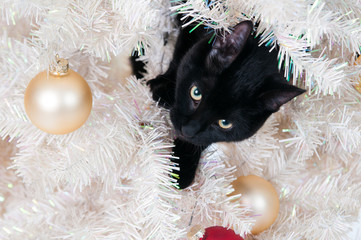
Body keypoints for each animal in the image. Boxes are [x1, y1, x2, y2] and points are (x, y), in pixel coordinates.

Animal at [135, 19, 304, 188]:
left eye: (225, 123)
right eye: (196, 92)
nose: (188, 130)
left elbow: (203, 139)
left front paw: (181, 169)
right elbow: (181, 51)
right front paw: (163, 89)